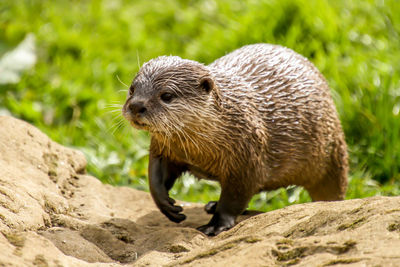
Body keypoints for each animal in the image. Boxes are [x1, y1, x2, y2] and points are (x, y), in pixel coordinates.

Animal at [121, 44, 346, 237]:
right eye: (132, 89)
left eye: (166, 95)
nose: (136, 105)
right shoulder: (164, 148)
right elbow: (156, 175)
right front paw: (166, 204)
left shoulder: (247, 155)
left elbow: (235, 195)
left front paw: (216, 225)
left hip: (332, 154)